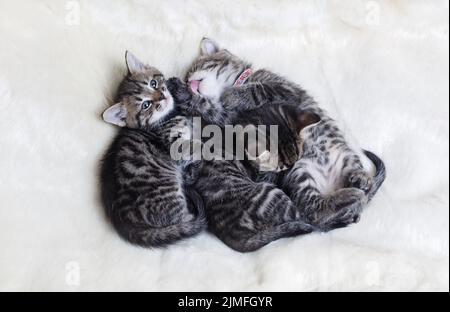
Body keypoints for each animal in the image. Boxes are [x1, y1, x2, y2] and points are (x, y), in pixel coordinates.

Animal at [100, 53, 206, 249]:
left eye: (153, 83)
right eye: (146, 105)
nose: (163, 96)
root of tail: (126, 225)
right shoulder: (175, 145)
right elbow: (198, 145)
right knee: (188, 220)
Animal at [178, 37, 384, 250]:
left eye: (196, 68)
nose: (188, 82)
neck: (240, 81)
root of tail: (330, 185)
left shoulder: (286, 91)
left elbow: (260, 89)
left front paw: (231, 95)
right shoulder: (232, 120)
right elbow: (213, 110)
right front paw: (190, 98)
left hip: (346, 156)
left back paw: (361, 180)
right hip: (299, 172)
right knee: (313, 213)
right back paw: (350, 197)